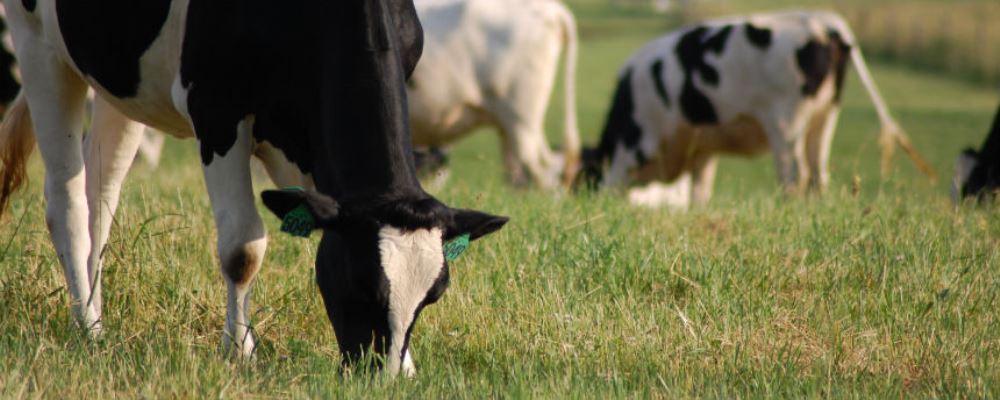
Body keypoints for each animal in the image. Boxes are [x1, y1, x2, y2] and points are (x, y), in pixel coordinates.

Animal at [0, 0, 508, 376]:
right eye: (359, 281)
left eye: (434, 294)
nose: (382, 378)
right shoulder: (216, 108)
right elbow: (242, 248)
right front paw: (239, 351)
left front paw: (410, 365)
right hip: (37, 45)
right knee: (66, 201)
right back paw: (86, 326)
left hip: (120, 81)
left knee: (100, 198)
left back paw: (96, 315)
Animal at [581, 11, 934, 208]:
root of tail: (826, 23)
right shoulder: (704, 151)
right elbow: (700, 192)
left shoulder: (635, 144)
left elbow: (615, 183)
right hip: (825, 115)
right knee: (819, 174)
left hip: (786, 121)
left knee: (795, 175)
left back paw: (788, 210)